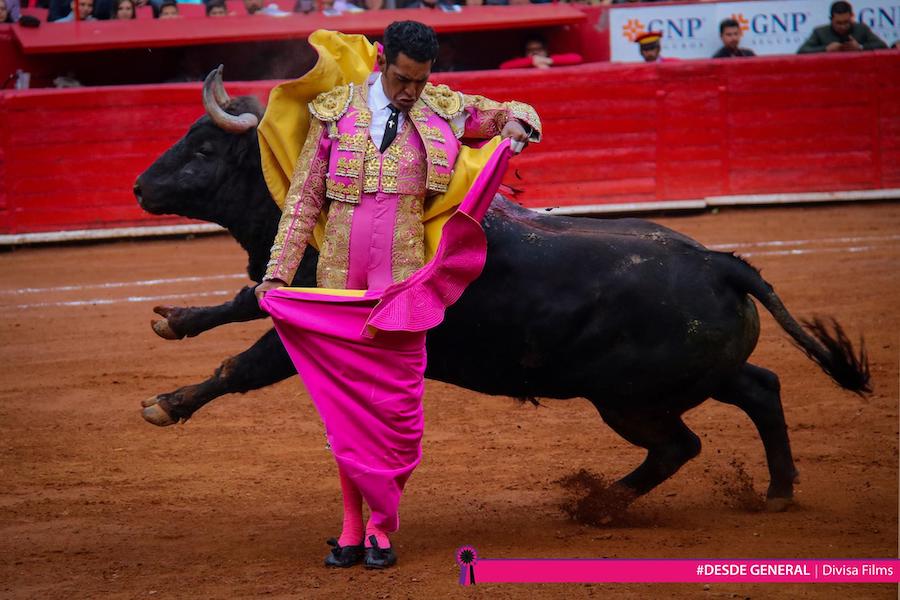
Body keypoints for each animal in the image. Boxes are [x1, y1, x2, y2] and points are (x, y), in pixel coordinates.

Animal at [130, 75, 868, 512]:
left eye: (203, 150)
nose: (139, 187)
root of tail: (720, 263)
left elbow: (243, 364)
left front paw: (165, 405)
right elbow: (245, 297)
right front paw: (174, 320)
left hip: (628, 398)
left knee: (678, 445)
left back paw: (597, 505)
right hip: (698, 372)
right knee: (761, 387)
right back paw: (776, 491)